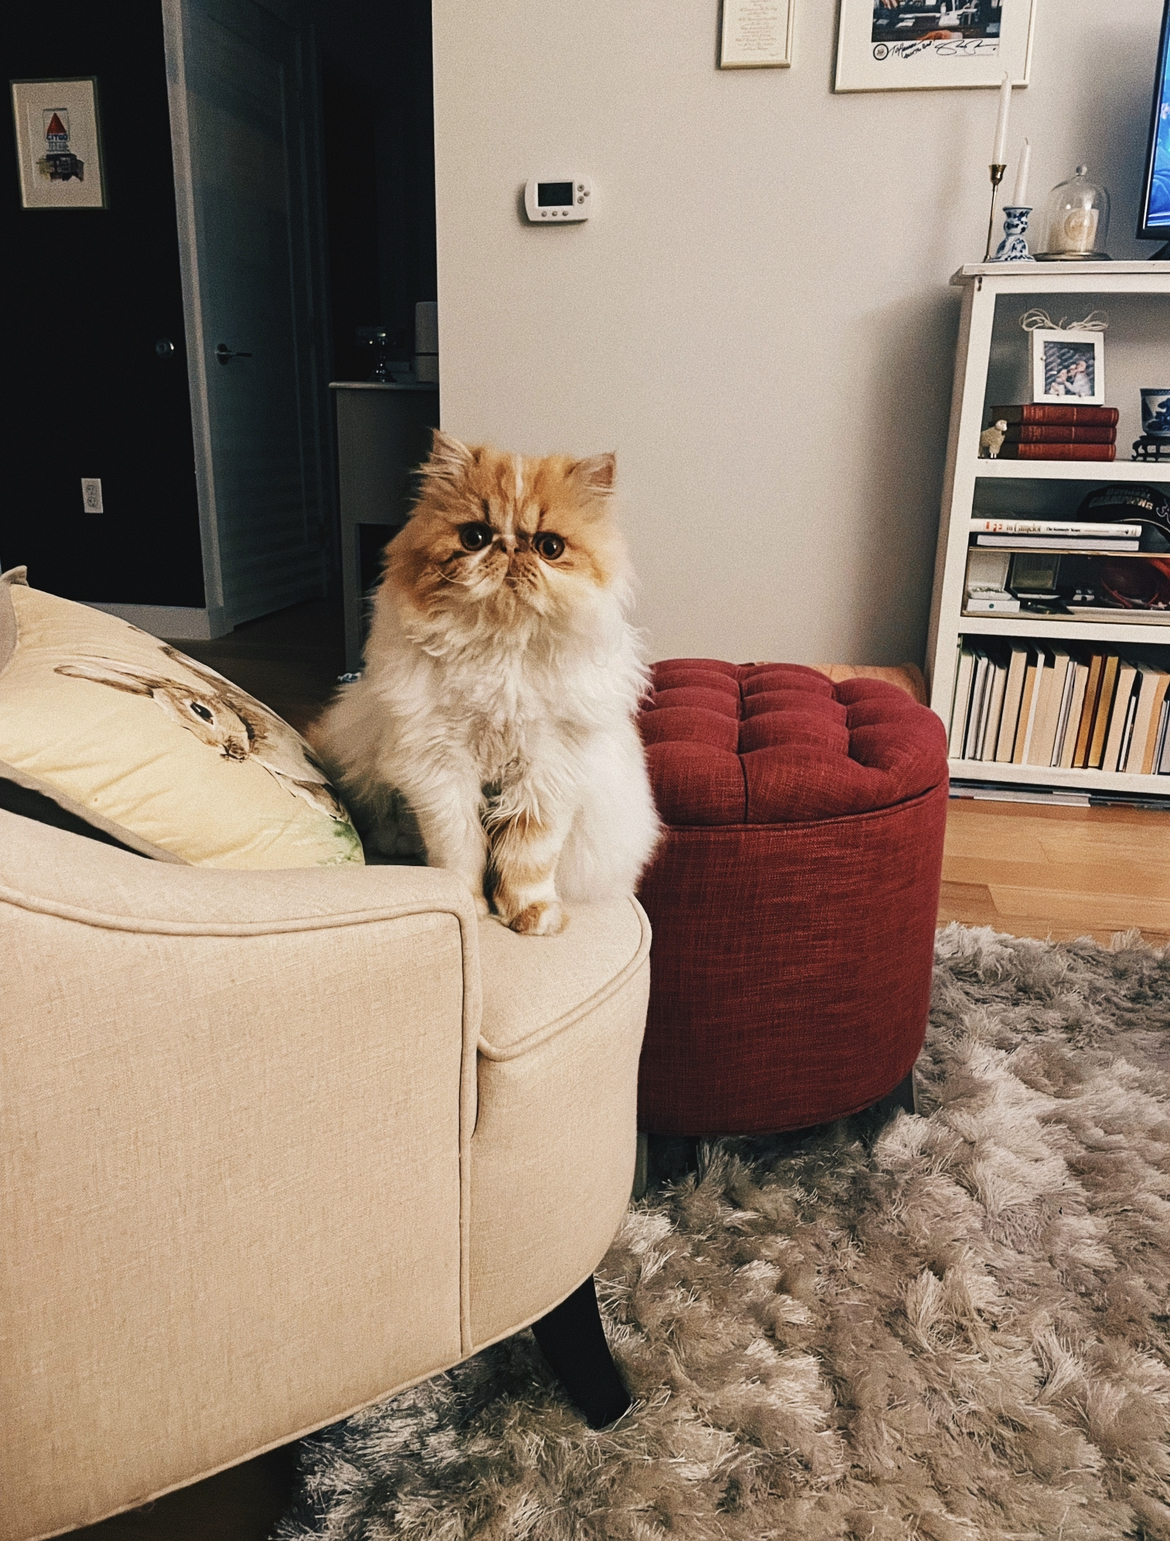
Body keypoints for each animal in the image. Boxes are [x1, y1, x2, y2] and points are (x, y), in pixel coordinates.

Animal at [310, 430, 660, 935]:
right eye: (474, 537)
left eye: (550, 547)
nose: (511, 549)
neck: (502, 651)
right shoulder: (440, 770)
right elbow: (459, 852)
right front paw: (470, 905)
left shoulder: (547, 774)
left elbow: (528, 860)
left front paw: (532, 916)